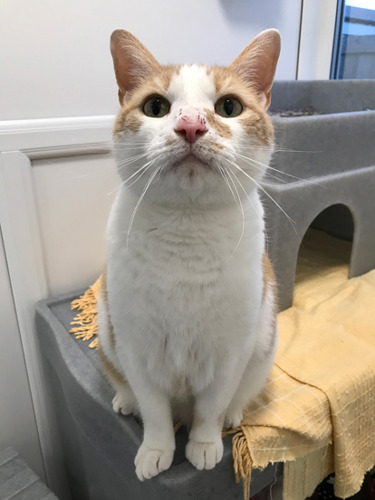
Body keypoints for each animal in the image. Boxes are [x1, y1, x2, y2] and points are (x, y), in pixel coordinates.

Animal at [98, 28, 280, 480]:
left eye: (229, 107)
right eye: (156, 107)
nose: (191, 125)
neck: (187, 232)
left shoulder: (230, 352)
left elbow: (210, 408)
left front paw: (204, 444)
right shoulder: (137, 349)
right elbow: (155, 411)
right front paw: (156, 450)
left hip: (263, 347)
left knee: (235, 398)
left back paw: (233, 415)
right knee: (125, 386)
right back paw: (125, 401)